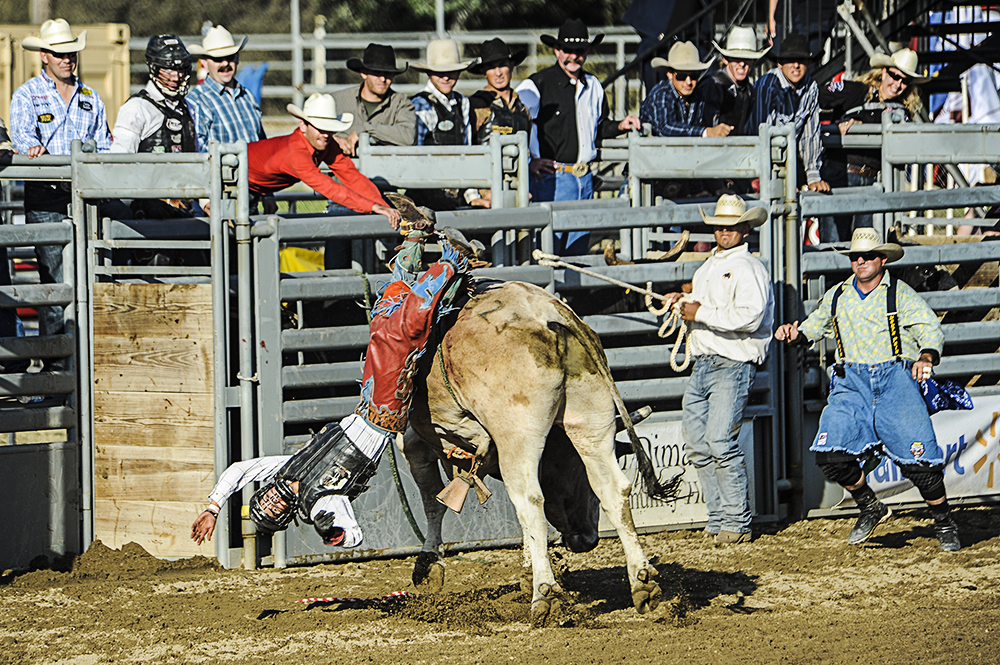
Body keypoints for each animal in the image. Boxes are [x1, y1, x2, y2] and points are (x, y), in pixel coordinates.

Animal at [402, 278, 684, 624]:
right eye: (577, 477)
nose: (588, 539)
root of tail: (553, 315)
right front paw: (527, 571)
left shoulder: (417, 440)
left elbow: (432, 502)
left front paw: (428, 564)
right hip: (589, 419)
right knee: (613, 489)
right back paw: (643, 582)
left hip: (517, 432)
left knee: (529, 500)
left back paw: (545, 594)